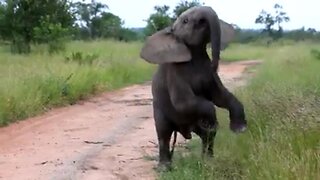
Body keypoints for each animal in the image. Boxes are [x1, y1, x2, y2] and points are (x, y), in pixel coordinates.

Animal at [140, 5, 248, 169]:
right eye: (186, 21)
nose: (216, 66)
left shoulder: (208, 72)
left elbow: (219, 96)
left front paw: (240, 130)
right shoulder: (174, 72)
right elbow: (184, 102)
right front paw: (213, 122)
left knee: (205, 134)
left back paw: (207, 160)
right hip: (159, 110)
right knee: (164, 133)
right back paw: (165, 168)